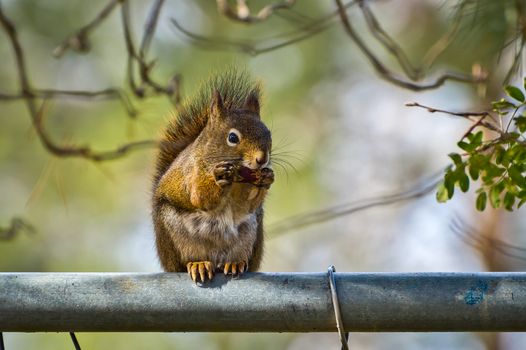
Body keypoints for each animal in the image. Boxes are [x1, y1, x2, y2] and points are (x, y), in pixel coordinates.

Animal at [152, 69, 276, 284]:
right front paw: (218, 178)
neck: (236, 179)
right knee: (188, 261)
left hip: (249, 234)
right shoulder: (191, 173)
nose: (262, 159)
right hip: (175, 237)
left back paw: (235, 263)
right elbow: (199, 198)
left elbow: (245, 206)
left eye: (268, 134)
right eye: (232, 138)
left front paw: (266, 179)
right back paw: (198, 264)